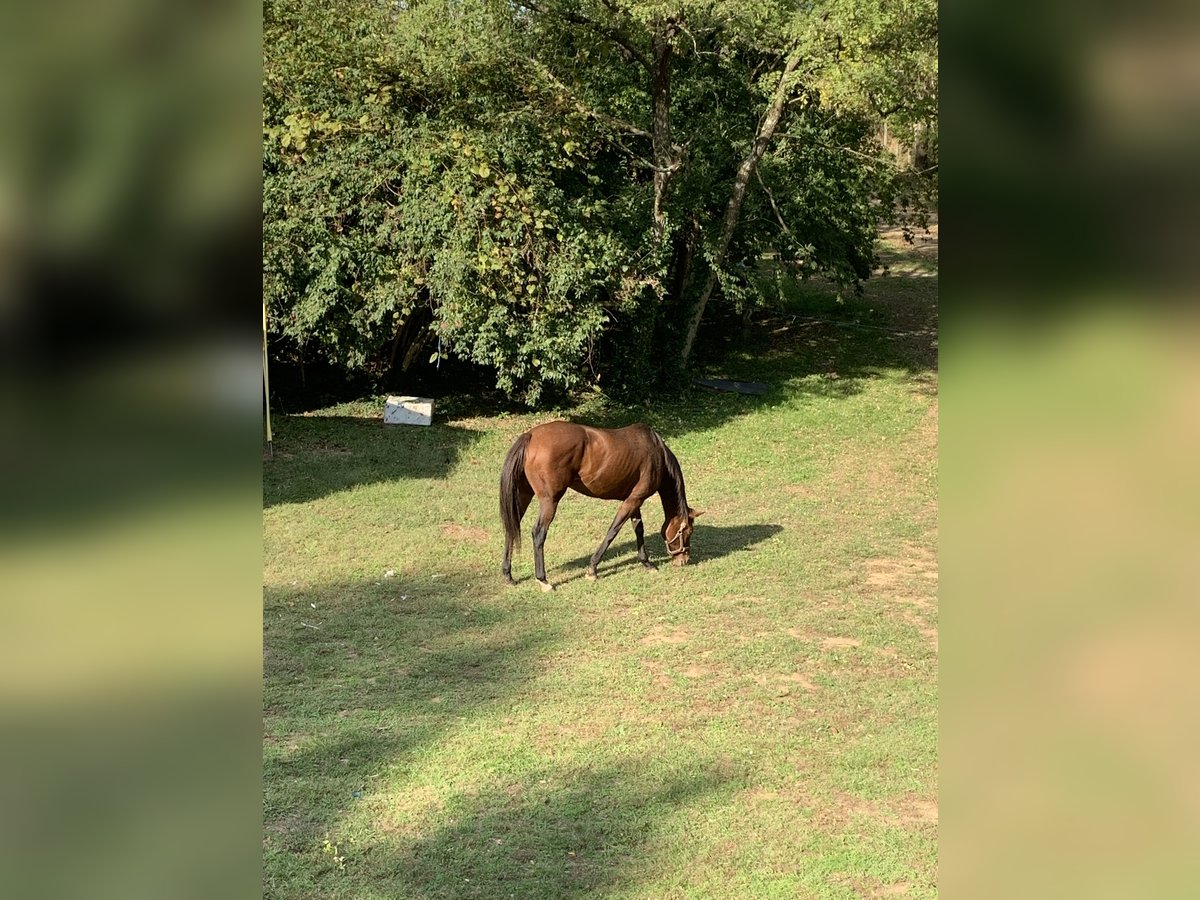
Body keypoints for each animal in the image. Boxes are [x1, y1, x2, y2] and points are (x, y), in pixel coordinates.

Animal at [499, 422, 700, 592]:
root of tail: (531, 435)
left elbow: (639, 529)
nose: (684, 560)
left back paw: (508, 575)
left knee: (511, 527)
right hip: (550, 501)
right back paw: (543, 580)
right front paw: (592, 569)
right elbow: (613, 531)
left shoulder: (634, 500)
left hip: (523, 495)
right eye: (688, 531)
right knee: (538, 533)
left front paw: (647, 563)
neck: (656, 452)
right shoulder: (633, 500)